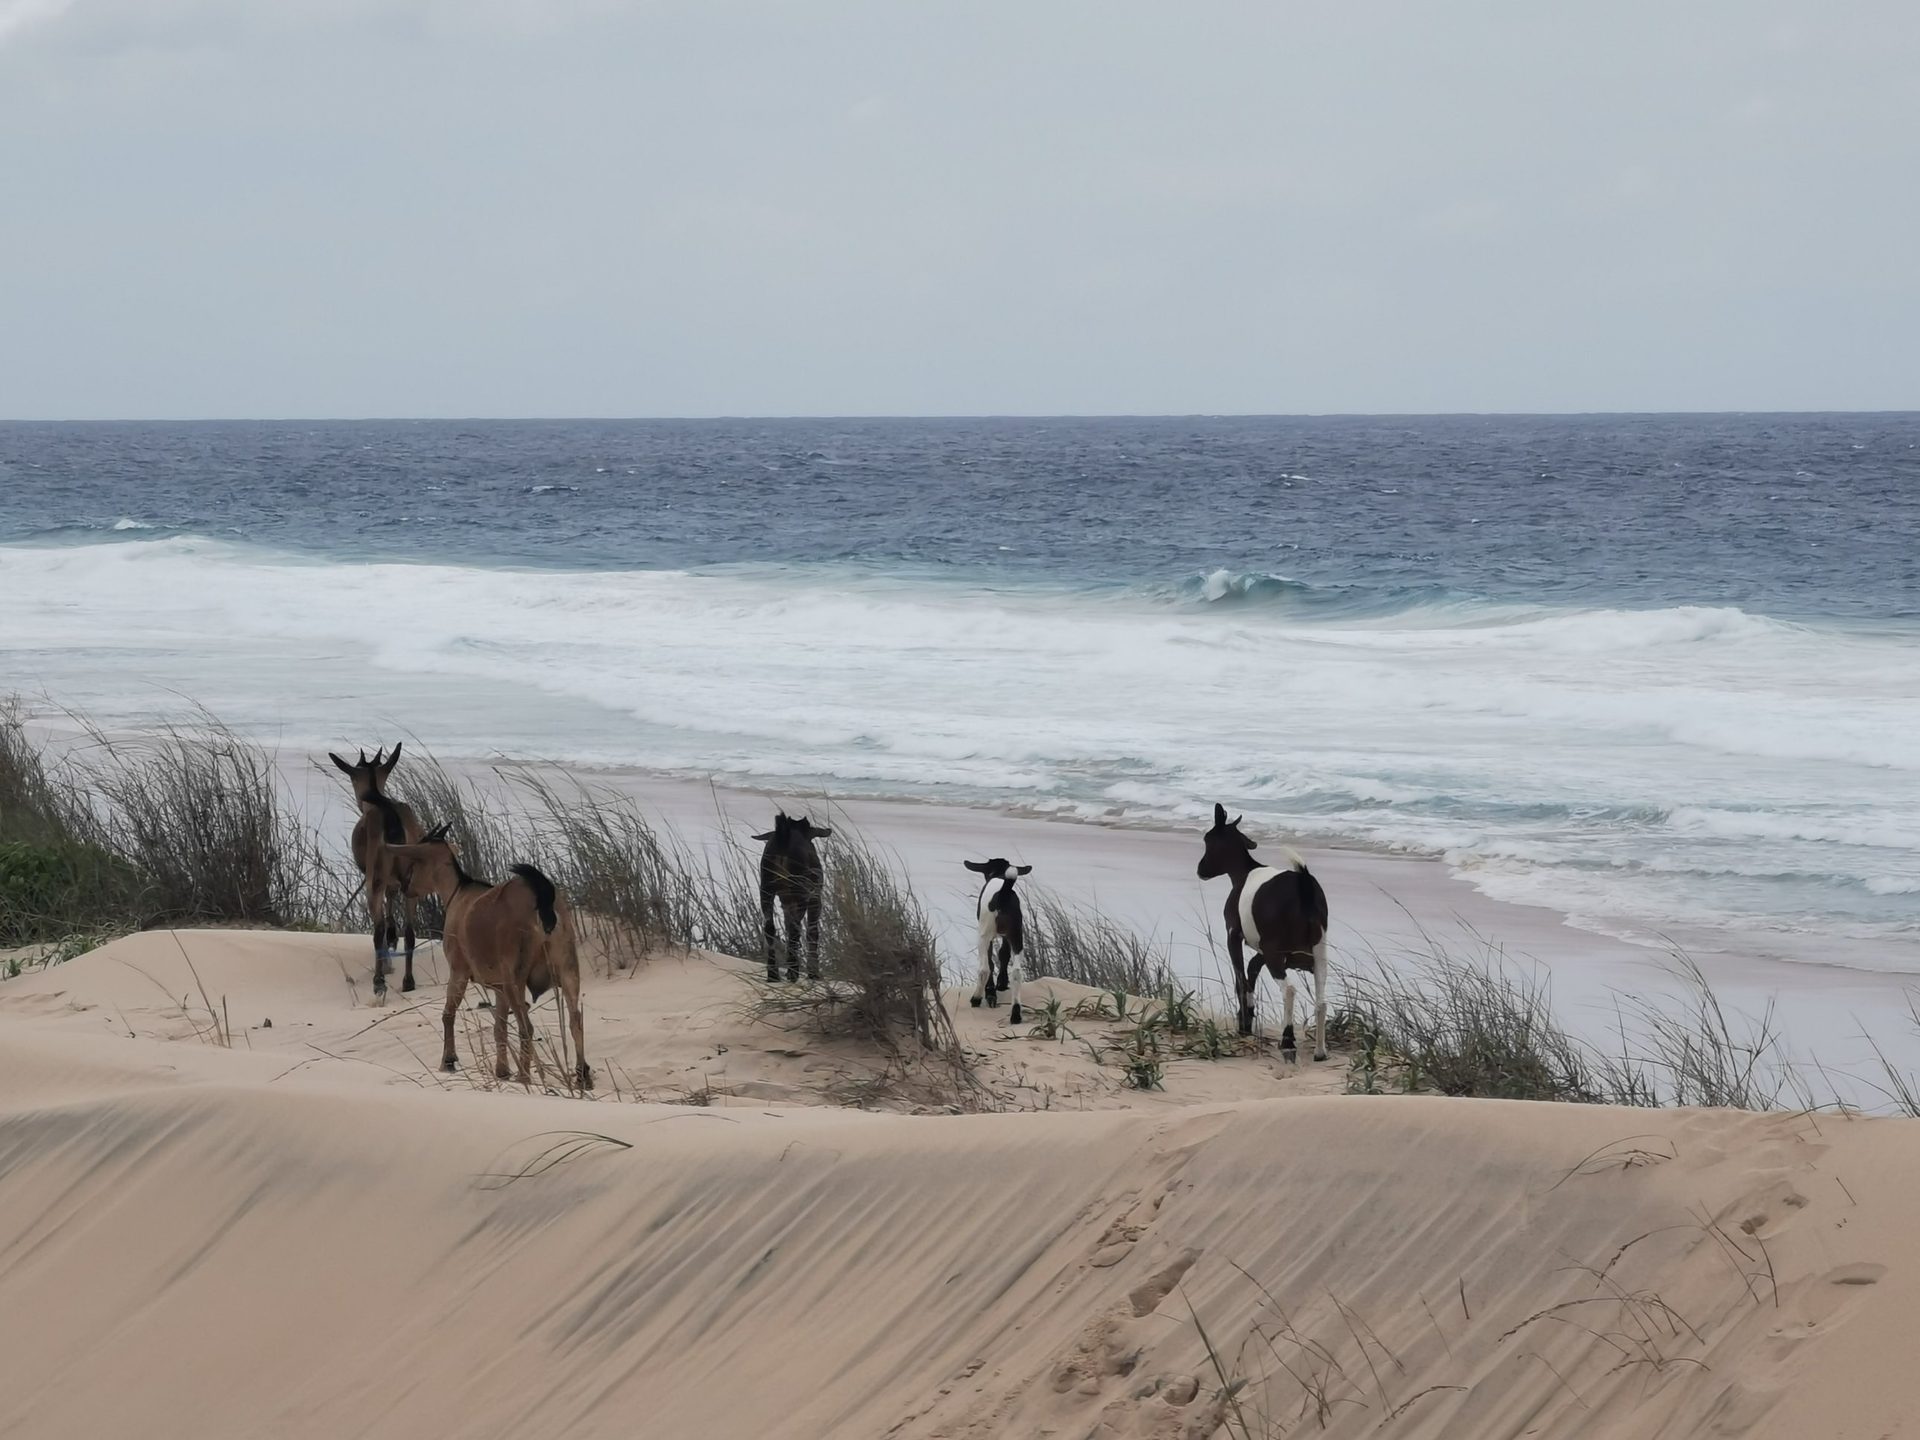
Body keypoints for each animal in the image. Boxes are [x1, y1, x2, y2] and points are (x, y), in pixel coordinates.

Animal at [329, 743, 425, 1001]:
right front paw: (392, 940)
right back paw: (408, 980)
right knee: (410, 930)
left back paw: (379, 982)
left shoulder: (375, 876)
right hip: (412, 879)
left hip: (375, 877)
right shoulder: (394, 881)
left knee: (377, 928)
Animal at [388, 823, 591, 1089]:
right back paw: (582, 1076)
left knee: (526, 1026)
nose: (405, 887)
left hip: (515, 972)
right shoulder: (499, 986)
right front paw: (501, 1070)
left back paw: (524, 1077)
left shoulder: (459, 969)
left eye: (414, 863)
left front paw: (448, 1061)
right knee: (575, 1019)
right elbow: (499, 1028)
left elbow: (448, 1013)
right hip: (566, 964)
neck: (458, 891)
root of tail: (543, 899)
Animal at [753, 811, 830, 982]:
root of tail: (784, 837)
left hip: (766, 888)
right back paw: (793, 972)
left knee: (770, 927)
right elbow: (812, 932)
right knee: (796, 929)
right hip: (799, 890)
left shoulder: (786, 901)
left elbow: (787, 926)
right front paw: (813, 973)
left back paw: (773, 974)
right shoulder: (815, 897)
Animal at [965, 858, 1031, 1025]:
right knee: (1017, 972)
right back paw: (1016, 1014)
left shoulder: (988, 936)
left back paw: (976, 998)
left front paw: (991, 992)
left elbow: (990, 961)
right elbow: (1003, 954)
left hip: (984, 934)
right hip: (1017, 935)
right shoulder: (1008, 936)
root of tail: (1003, 893)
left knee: (984, 969)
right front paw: (1001, 983)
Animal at [1195, 804, 1330, 1058]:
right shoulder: (1264, 952)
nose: (1201, 869)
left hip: (1276, 956)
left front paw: (1243, 1026)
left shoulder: (1234, 936)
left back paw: (1287, 1040)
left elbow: (1240, 979)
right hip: (1317, 955)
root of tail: (1304, 887)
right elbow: (1251, 972)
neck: (1243, 873)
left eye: (1207, 840)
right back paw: (1319, 1051)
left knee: (1289, 990)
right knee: (1321, 1001)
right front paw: (1247, 1016)